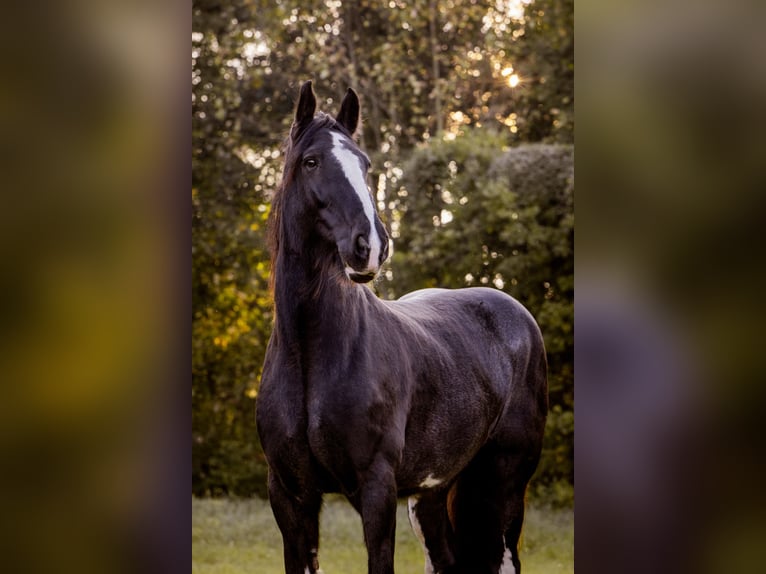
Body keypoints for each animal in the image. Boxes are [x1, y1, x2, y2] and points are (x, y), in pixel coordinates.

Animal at [258, 82, 552, 574]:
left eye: (365, 163)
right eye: (311, 161)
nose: (371, 246)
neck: (312, 354)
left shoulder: (376, 488)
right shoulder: (290, 495)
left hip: (504, 485)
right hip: (432, 494)